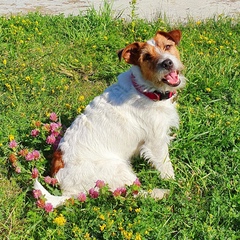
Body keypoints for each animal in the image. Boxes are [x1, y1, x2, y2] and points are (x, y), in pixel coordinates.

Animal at [34, 29, 187, 207]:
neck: (145, 89)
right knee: (131, 193)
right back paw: (161, 193)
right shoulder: (155, 142)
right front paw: (174, 182)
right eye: (147, 57)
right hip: (118, 170)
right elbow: (166, 166)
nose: (167, 63)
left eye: (168, 46)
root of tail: (68, 191)